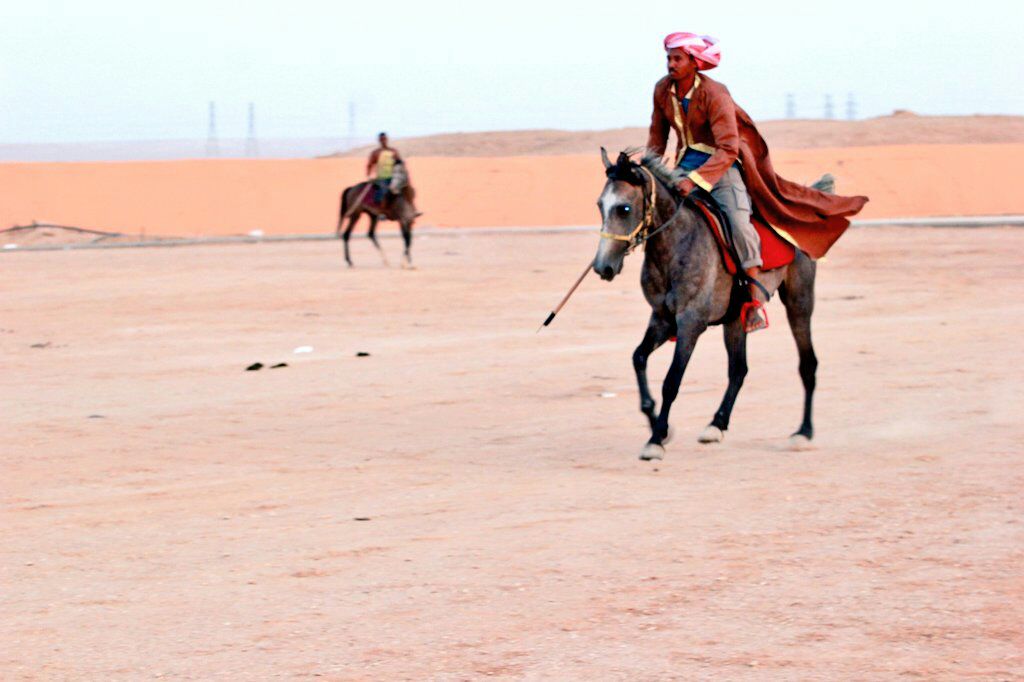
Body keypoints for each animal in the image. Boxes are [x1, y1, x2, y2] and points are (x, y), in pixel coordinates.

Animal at [593, 148, 831, 456]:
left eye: (623, 208)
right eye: (600, 205)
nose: (603, 267)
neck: (674, 246)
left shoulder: (691, 323)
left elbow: (672, 380)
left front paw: (656, 439)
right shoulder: (662, 318)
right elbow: (638, 358)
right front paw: (660, 427)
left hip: (799, 299)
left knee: (807, 363)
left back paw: (803, 432)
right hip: (736, 319)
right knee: (739, 369)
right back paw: (716, 425)